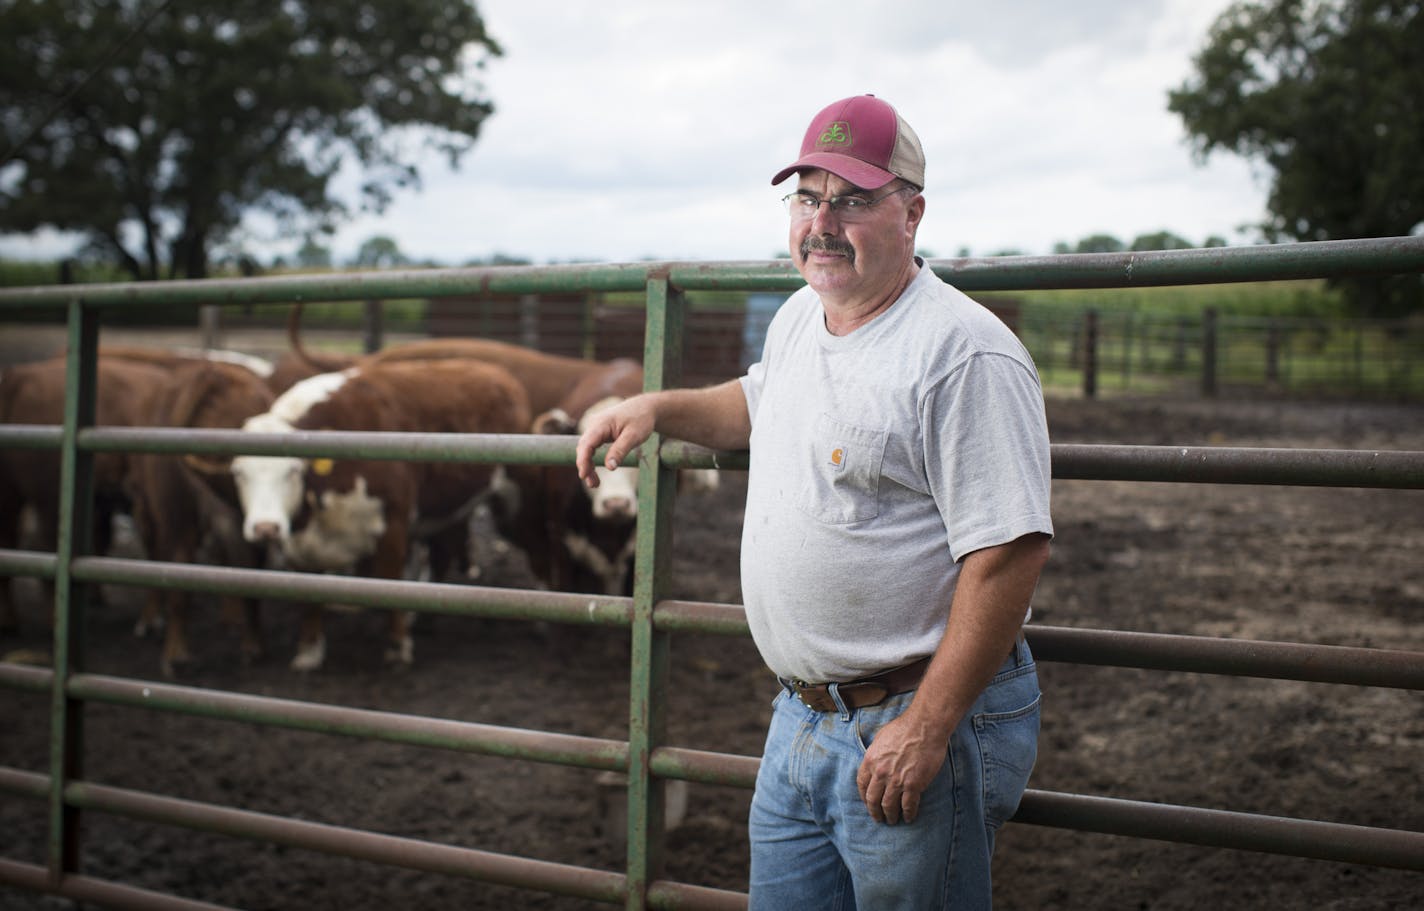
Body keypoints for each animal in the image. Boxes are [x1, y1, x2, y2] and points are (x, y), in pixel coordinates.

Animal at [230, 358, 532, 671]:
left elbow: (390, 577)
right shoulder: (300, 545)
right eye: (238, 472)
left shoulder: (393, 522)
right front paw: (309, 651)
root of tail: (490, 368)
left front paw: (398, 647)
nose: (266, 528)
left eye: (292, 470)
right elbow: (308, 593)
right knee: (441, 553)